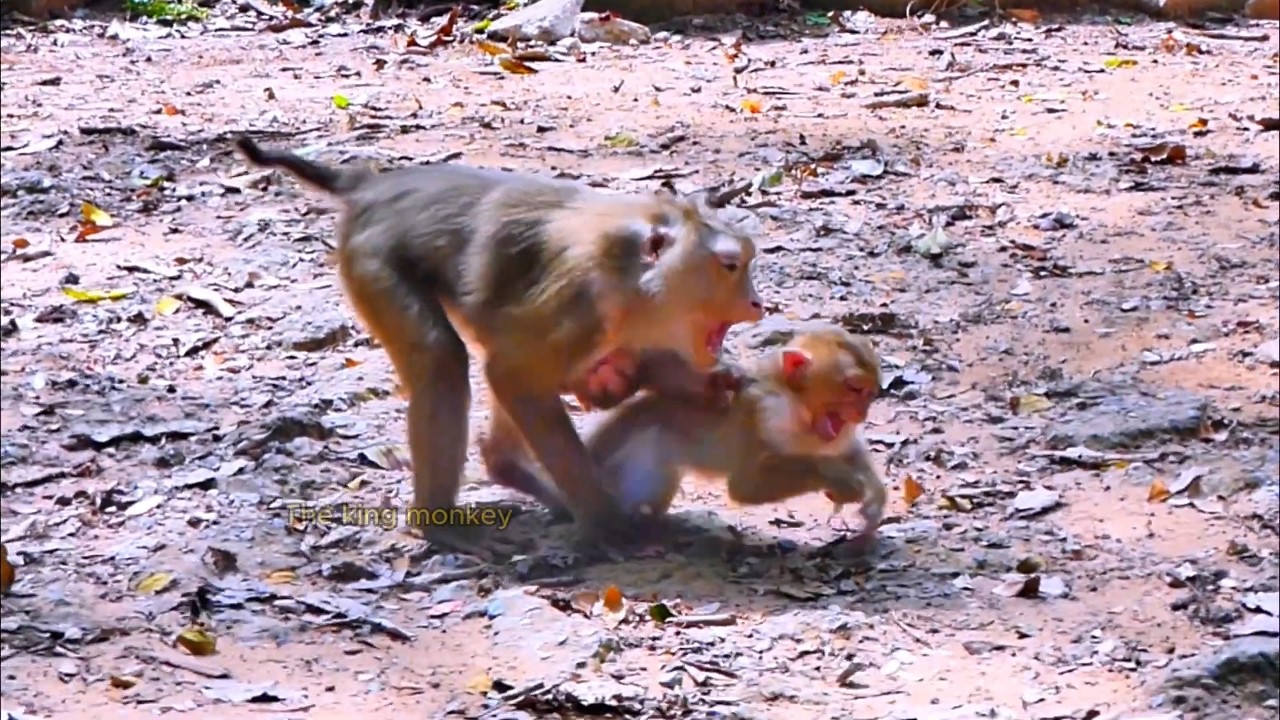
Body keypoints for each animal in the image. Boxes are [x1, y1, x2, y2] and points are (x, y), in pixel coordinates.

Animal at [232, 137, 765, 543]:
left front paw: (715, 383)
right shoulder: (580, 305)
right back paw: (441, 522)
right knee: (443, 360)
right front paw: (605, 520)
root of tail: (376, 185)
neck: (634, 277)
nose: (757, 303)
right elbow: (512, 373)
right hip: (372, 256)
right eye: (731, 266)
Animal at [583, 325, 887, 551]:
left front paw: (874, 495)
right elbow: (745, 485)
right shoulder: (766, 414)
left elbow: (845, 449)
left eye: (871, 393)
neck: (794, 401)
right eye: (854, 388)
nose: (861, 413)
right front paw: (839, 479)